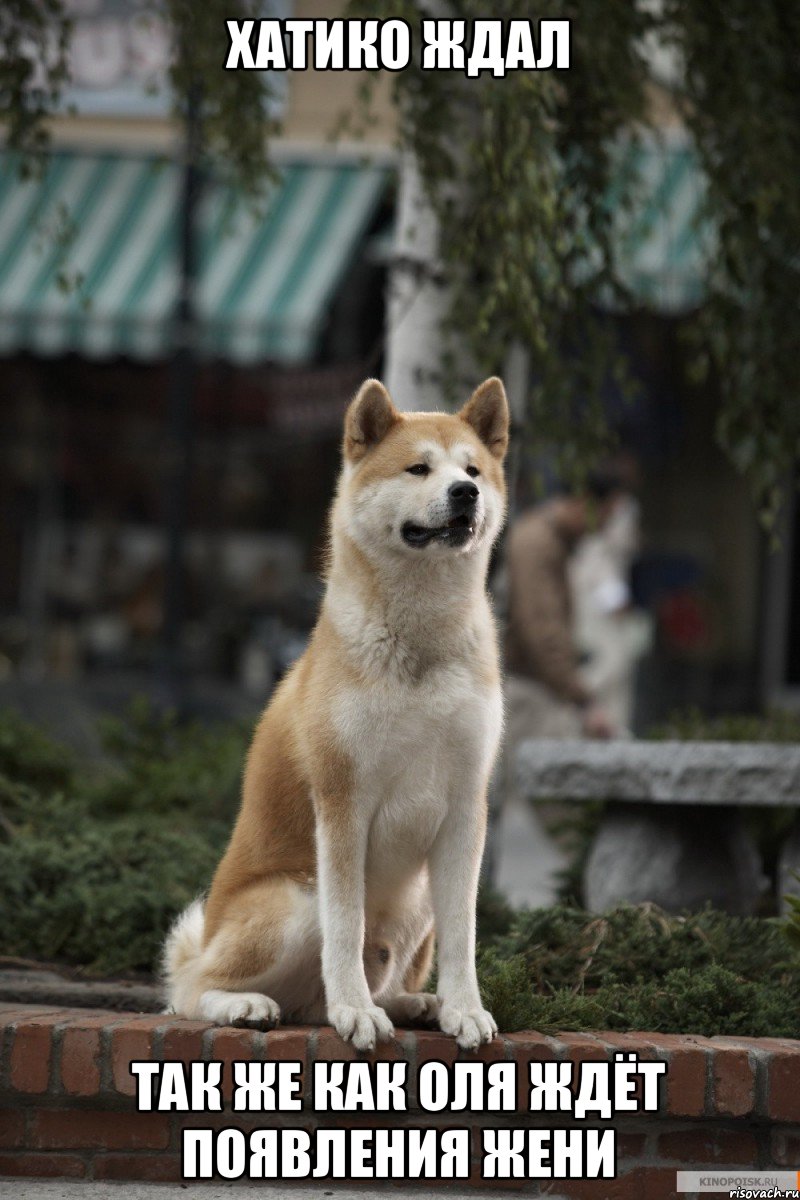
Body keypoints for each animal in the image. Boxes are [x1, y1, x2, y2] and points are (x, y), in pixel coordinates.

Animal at [165, 374, 510, 1051]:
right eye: (418, 468)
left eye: (473, 470)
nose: (465, 493)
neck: (420, 643)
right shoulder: (343, 801)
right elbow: (346, 928)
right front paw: (355, 1011)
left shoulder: (466, 806)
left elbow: (464, 935)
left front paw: (464, 1009)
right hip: (295, 900)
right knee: (189, 990)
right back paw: (250, 1005)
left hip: (417, 899)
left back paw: (415, 1003)